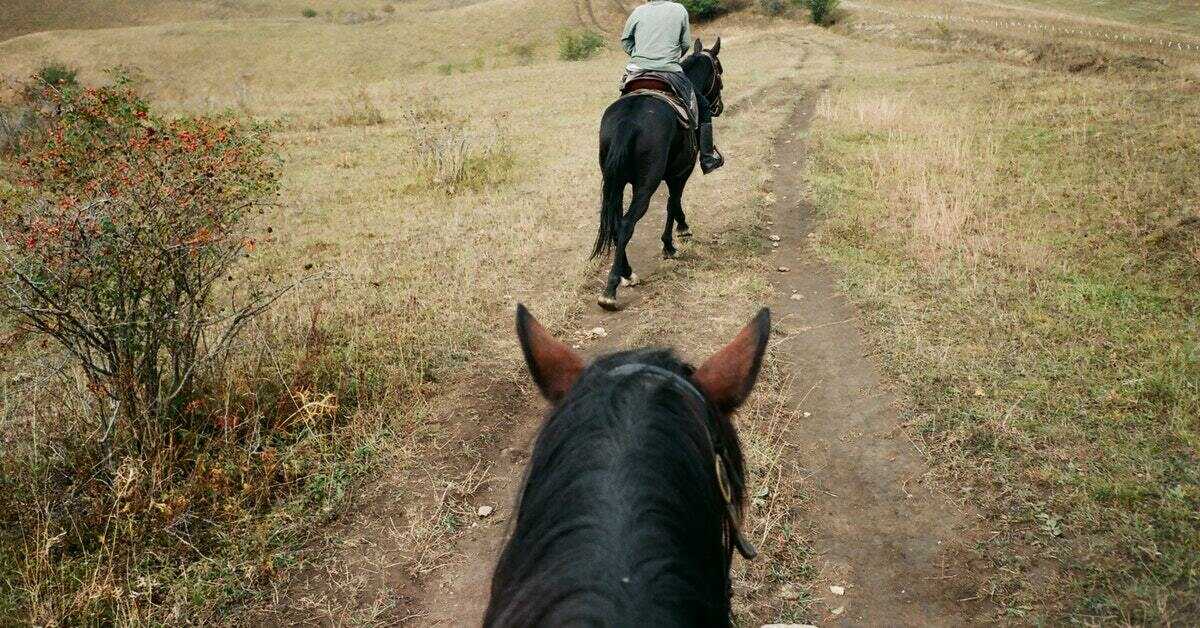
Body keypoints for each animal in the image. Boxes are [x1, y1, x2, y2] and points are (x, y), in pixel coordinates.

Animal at [588, 38, 720, 309]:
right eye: (720, 72)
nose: (719, 106)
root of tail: (628, 121)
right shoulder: (681, 172)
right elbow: (673, 203)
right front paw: (673, 241)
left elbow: (673, 203)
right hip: (646, 185)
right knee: (627, 223)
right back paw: (611, 290)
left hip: (615, 182)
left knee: (616, 222)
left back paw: (626, 273)